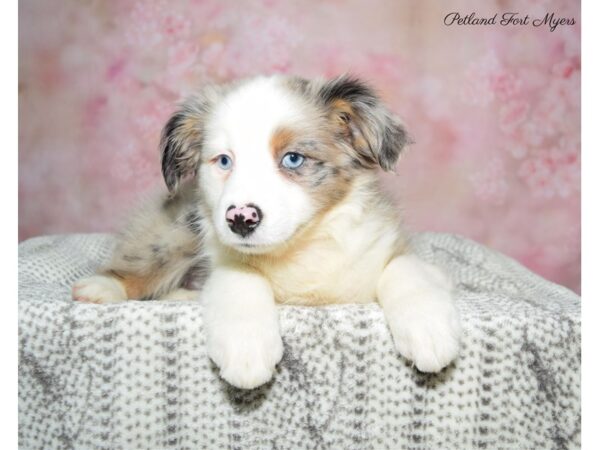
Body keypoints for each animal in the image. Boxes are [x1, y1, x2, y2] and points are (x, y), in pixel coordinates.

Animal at [72, 74, 462, 390]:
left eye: (293, 159)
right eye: (224, 161)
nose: (240, 219)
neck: (301, 248)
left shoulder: (396, 253)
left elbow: (405, 269)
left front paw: (429, 330)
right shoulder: (222, 257)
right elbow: (242, 276)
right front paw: (246, 350)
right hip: (175, 232)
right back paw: (103, 287)